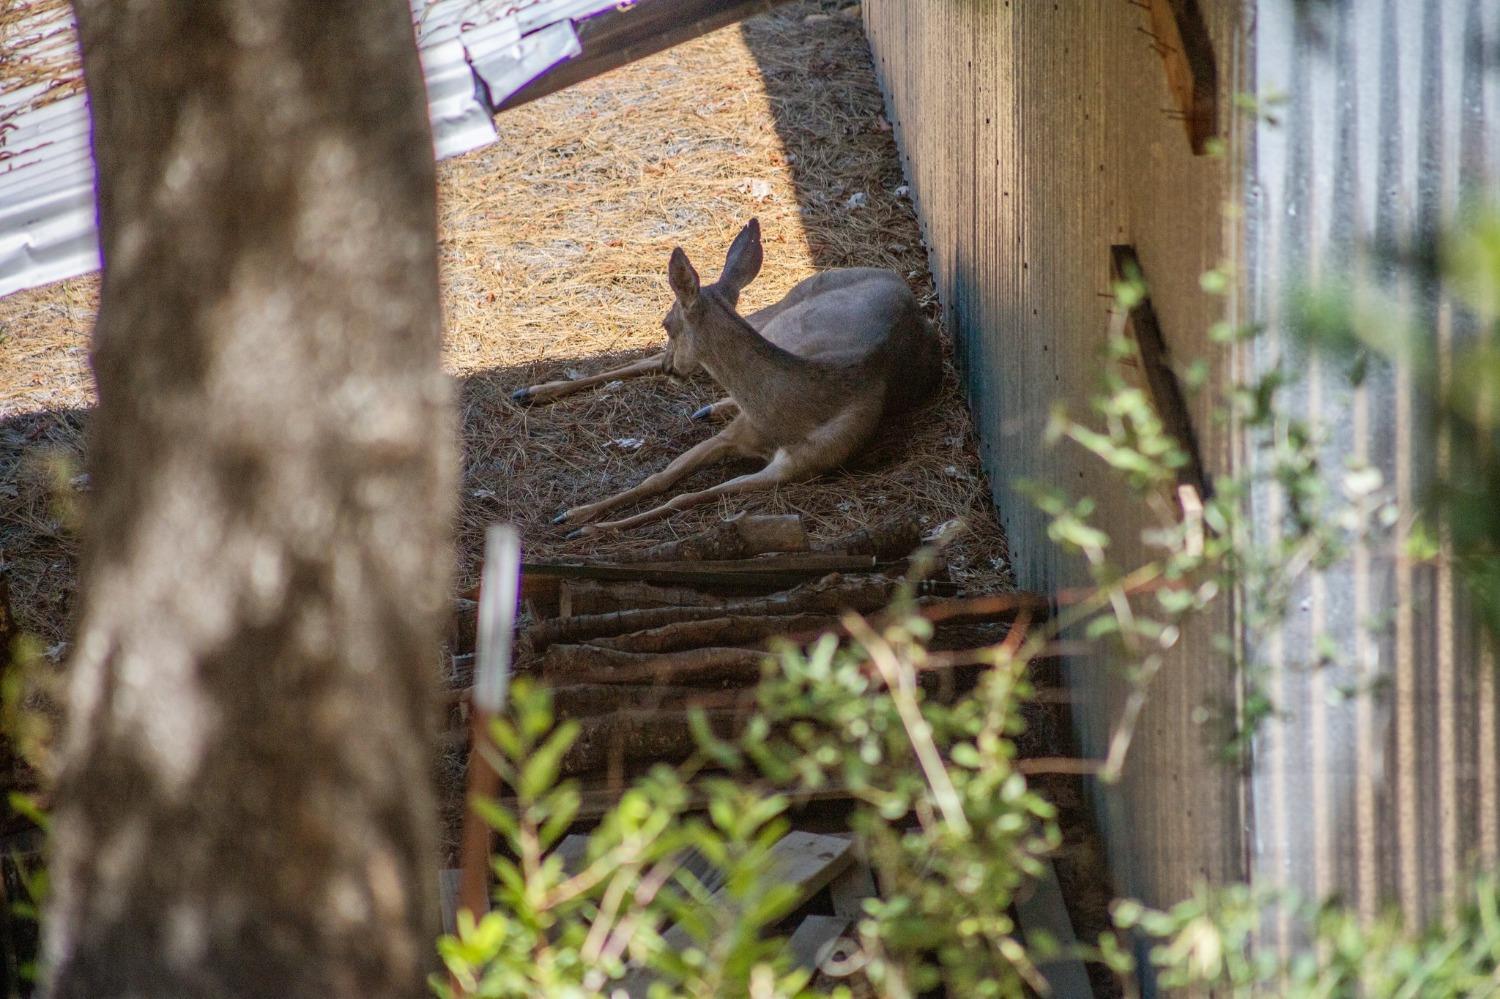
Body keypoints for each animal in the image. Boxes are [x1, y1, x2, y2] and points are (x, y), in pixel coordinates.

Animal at [543, 214, 936, 534]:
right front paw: (575, 516)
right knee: (648, 359)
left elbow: (684, 498)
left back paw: (708, 407)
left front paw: (587, 527)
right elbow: (658, 480)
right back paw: (537, 391)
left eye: (666, 323)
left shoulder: (800, 465)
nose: (672, 368)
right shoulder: (731, 435)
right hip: (778, 306)